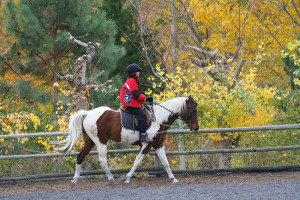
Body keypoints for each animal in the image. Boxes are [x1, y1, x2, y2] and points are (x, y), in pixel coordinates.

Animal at [54, 95, 199, 184]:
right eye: (193, 110)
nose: (196, 128)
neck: (158, 118)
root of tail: (88, 113)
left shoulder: (158, 144)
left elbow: (165, 162)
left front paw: (173, 179)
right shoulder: (146, 144)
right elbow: (137, 161)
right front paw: (128, 178)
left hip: (89, 141)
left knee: (80, 156)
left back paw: (75, 180)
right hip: (101, 141)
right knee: (102, 160)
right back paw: (112, 179)